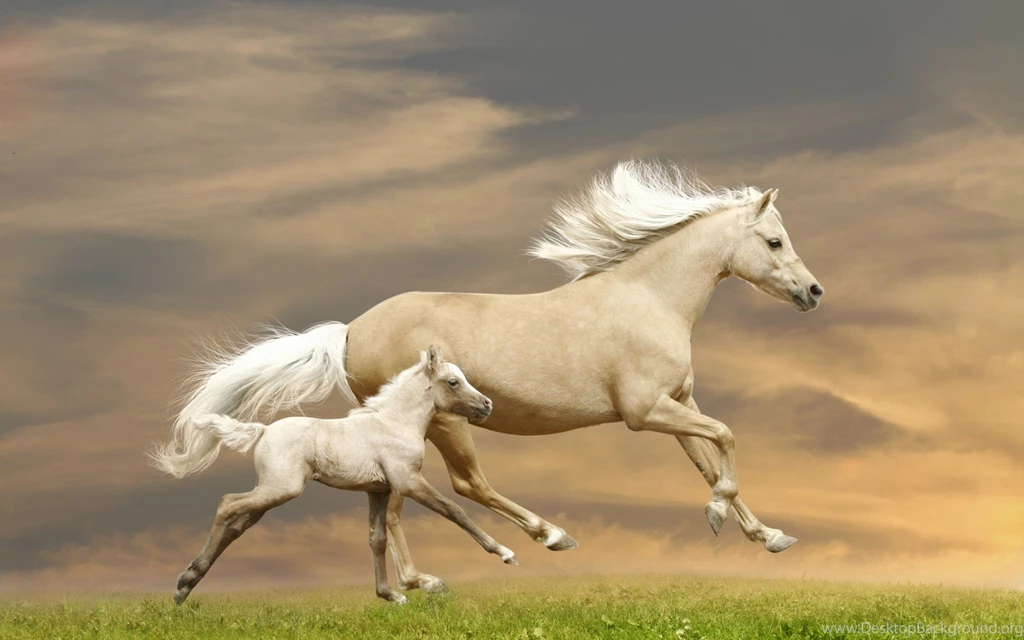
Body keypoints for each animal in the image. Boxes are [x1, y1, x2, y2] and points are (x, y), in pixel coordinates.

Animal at [170, 347, 516, 605]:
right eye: (453, 381)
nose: (487, 405)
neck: (395, 422)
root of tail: (263, 430)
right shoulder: (408, 481)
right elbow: (454, 511)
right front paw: (504, 553)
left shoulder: (378, 490)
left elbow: (376, 539)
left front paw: (390, 595)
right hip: (281, 489)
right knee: (228, 503)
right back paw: (186, 580)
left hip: (270, 494)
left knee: (235, 524)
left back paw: (185, 587)